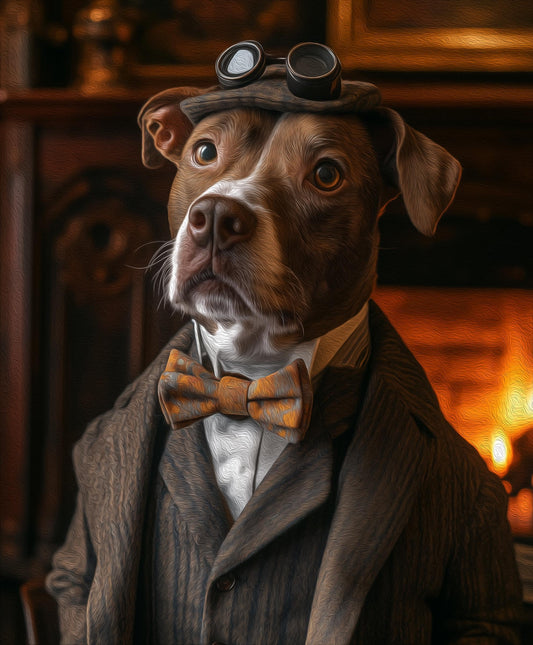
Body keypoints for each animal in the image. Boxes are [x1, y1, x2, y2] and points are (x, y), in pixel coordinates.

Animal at [46, 66, 524, 644]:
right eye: (204, 151)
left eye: (326, 174)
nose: (216, 215)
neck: (248, 377)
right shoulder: (74, 569)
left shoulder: (482, 608)